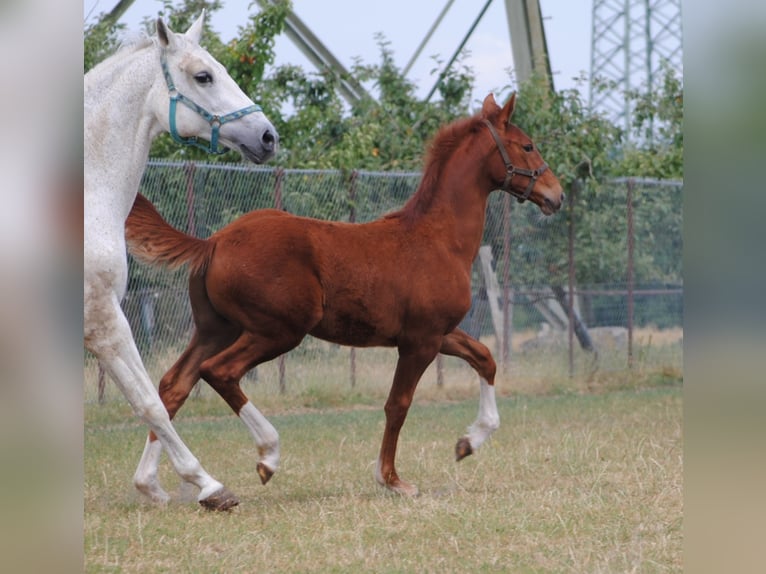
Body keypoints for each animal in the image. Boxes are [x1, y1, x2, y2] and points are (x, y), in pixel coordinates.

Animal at [127, 93, 564, 500]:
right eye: (527, 145)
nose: (556, 195)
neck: (438, 239)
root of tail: (214, 241)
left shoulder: (439, 333)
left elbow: (485, 359)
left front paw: (467, 443)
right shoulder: (420, 341)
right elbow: (398, 404)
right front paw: (392, 479)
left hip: (216, 329)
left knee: (173, 385)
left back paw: (154, 484)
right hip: (276, 331)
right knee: (219, 372)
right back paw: (267, 456)